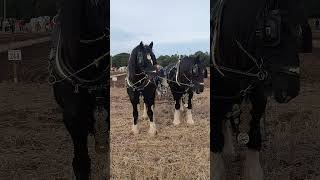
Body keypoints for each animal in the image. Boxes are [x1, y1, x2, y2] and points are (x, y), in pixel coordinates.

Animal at [211, 0, 312, 179]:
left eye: (300, 30)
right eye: (270, 30)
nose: (291, 92)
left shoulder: (258, 91)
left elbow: (255, 130)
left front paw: (253, 171)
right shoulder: (215, 97)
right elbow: (215, 135)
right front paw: (216, 169)